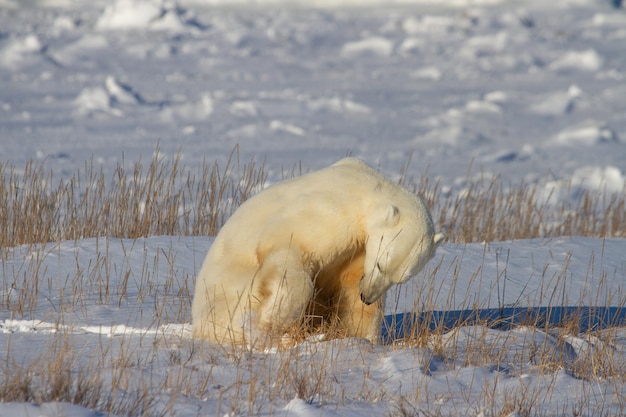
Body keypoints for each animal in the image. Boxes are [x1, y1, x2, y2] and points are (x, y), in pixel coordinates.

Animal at [191, 156, 444, 344]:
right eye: (381, 264)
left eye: (400, 279)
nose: (368, 297)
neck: (365, 189)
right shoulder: (327, 214)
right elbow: (291, 256)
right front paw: (269, 322)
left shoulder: (357, 252)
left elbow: (350, 287)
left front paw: (360, 338)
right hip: (230, 291)